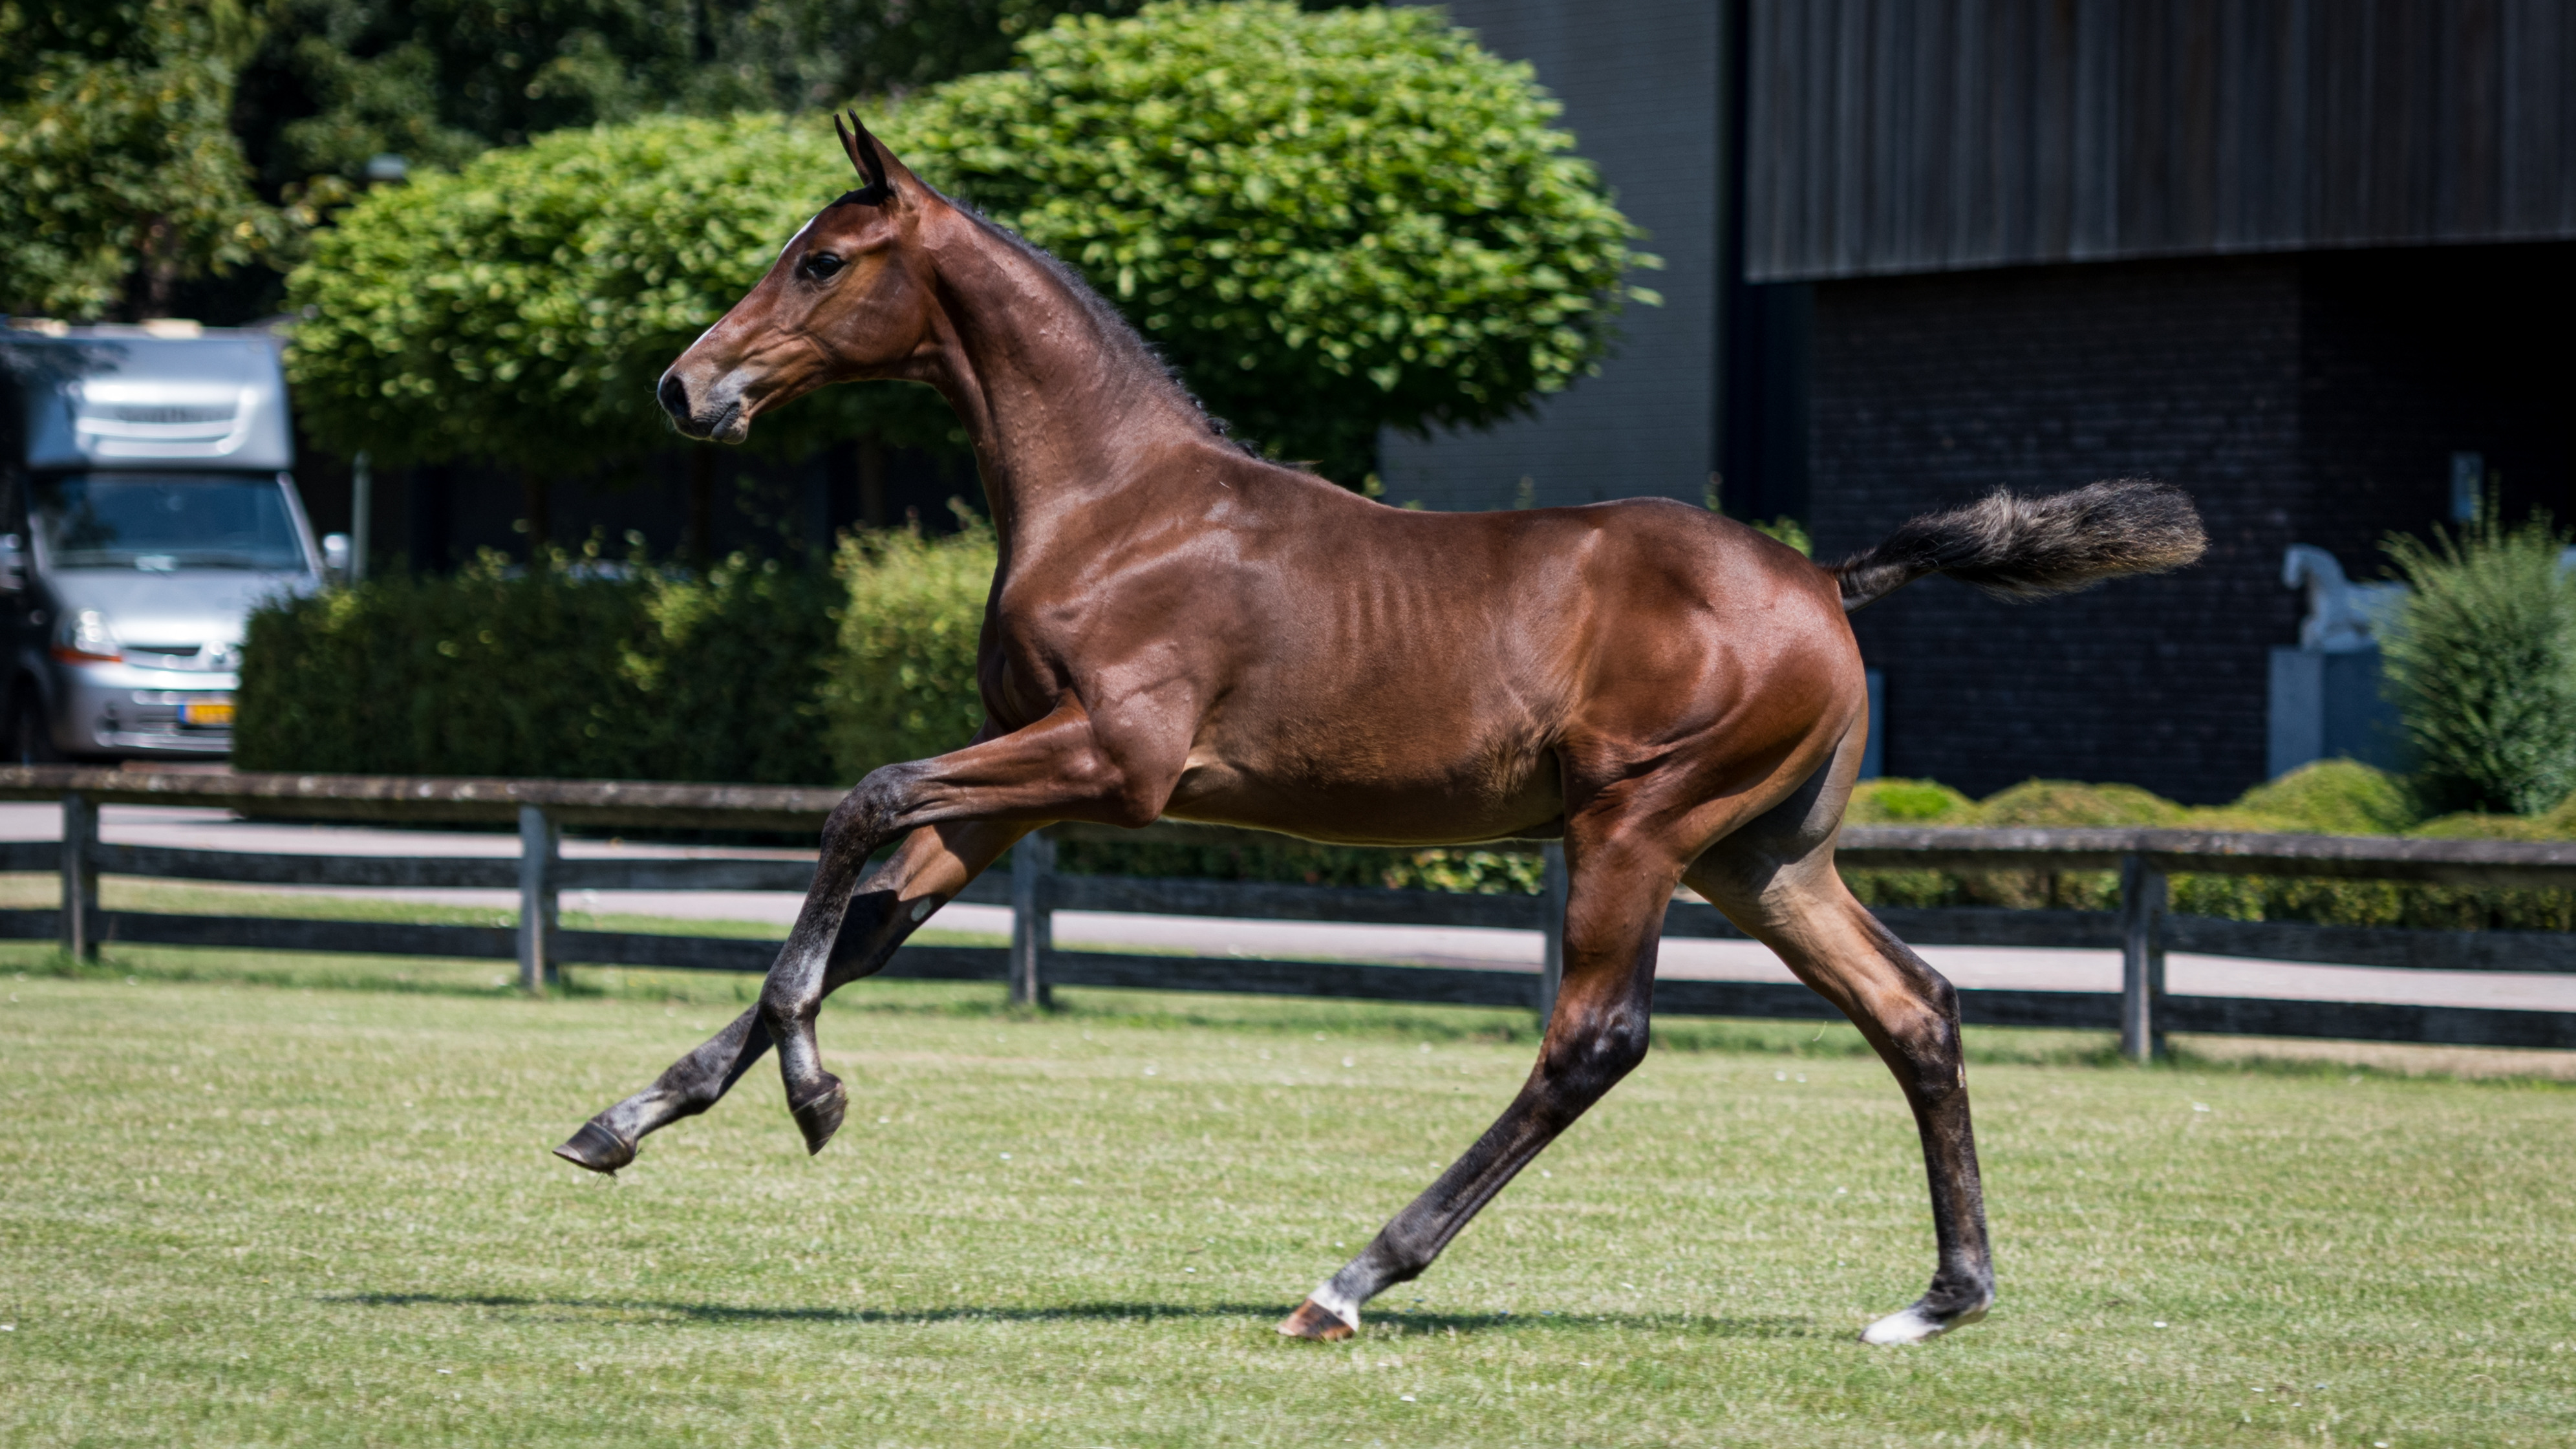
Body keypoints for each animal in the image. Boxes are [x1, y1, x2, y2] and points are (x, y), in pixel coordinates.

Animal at [554, 114, 2207, 1347]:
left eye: (822, 259)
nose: (685, 386)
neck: (1118, 504)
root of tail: (1824, 579)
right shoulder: (1019, 785)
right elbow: (871, 910)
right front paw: (631, 1115)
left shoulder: (1113, 764)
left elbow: (861, 800)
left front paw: (814, 1097)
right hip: (1763, 858)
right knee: (1914, 1006)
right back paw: (1943, 1297)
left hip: (1638, 825)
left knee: (1593, 1041)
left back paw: (1348, 1280)